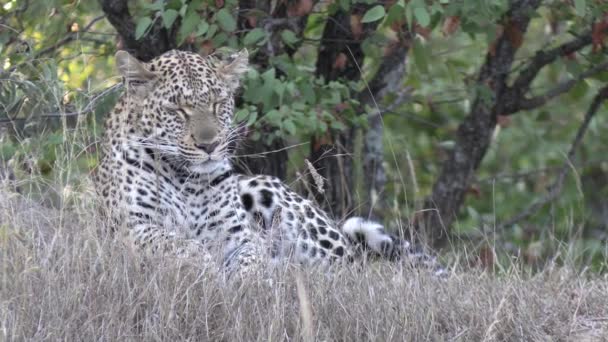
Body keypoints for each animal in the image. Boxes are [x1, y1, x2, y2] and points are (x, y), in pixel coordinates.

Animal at [95, 48, 446, 276]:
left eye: (218, 103)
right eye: (178, 109)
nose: (210, 145)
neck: (186, 180)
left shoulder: (238, 235)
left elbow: (251, 257)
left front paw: (249, 280)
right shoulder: (132, 228)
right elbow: (179, 244)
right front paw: (207, 269)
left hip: (262, 188)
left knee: (348, 269)